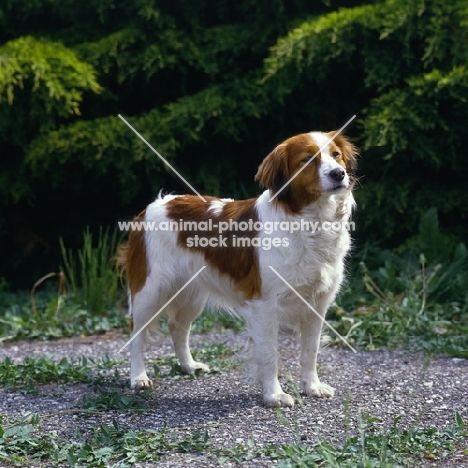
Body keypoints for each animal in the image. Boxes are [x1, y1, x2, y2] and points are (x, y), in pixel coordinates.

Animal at [118, 131, 358, 406]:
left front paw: (312, 386)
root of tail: (153, 206)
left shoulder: (316, 303)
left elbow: (311, 351)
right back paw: (138, 377)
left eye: (336, 155)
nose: (339, 174)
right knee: (137, 334)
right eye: (307, 159)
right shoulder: (265, 306)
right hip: (150, 291)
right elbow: (270, 355)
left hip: (191, 294)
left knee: (178, 328)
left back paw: (189, 366)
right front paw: (274, 395)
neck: (310, 222)